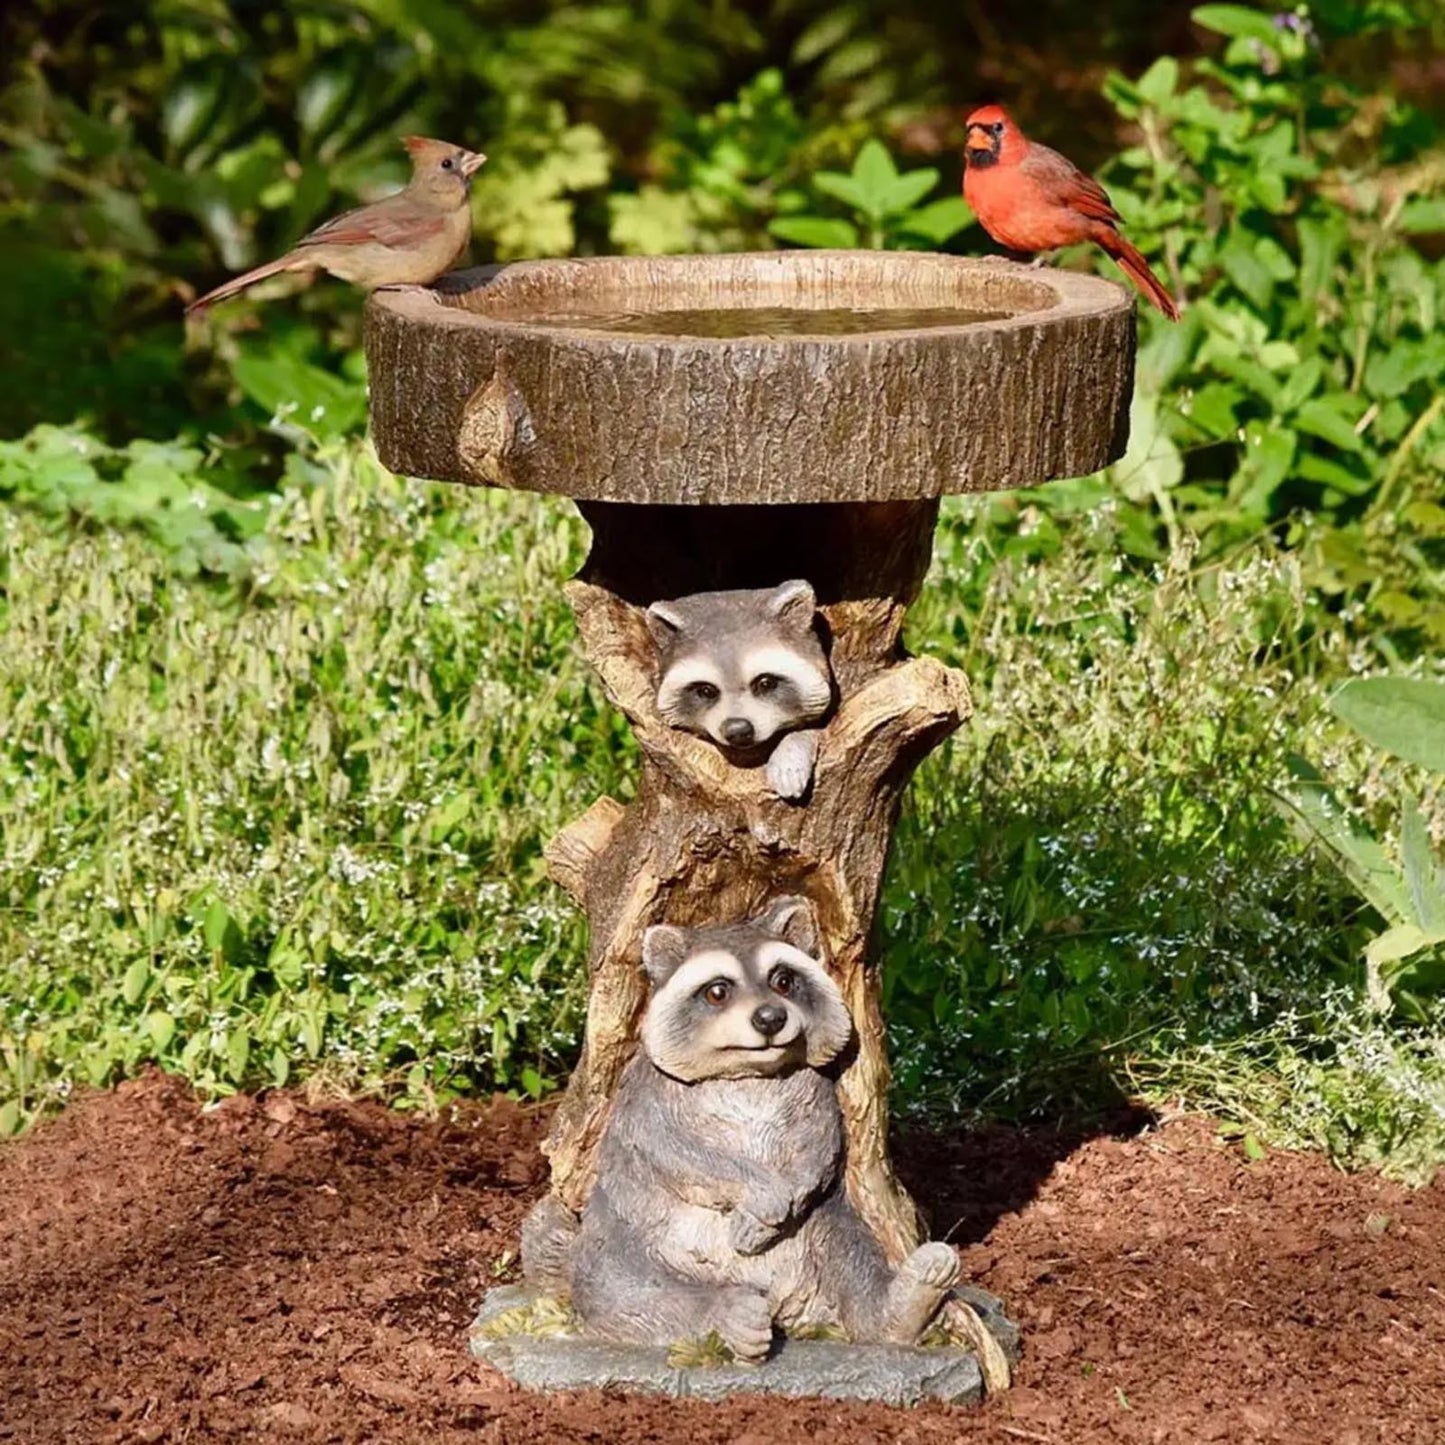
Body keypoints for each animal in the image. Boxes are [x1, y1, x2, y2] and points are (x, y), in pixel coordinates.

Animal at [521, 898, 959, 1362]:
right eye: (718, 991)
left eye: (783, 981)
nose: (770, 1018)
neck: (748, 1071)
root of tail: (786, 1305)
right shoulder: (647, 1093)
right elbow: (677, 1152)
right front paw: (761, 1196)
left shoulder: (815, 1088)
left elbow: (820, 1146)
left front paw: (781, 1195)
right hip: (617, 1240)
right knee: (624, 1291)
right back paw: (729, 1313)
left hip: (827, 1228)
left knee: (852, 1256)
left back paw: (903, 1303)